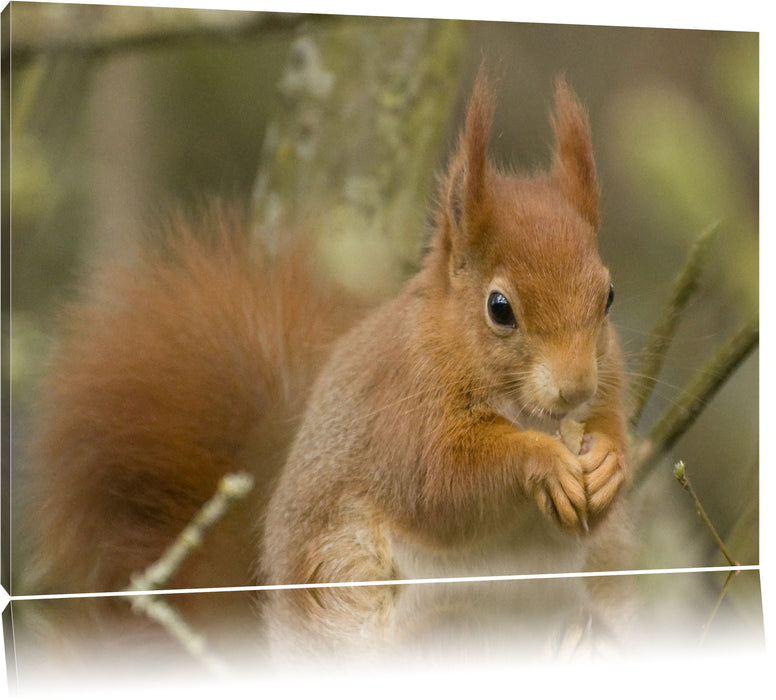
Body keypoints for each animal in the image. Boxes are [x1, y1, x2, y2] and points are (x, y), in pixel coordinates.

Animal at [22, 71, 632, 660]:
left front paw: (607, 460)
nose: (574, 389)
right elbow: (440, 482)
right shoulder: (401, 410)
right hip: (342, 576)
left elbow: (605, 444)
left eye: (608, 296)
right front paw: (541, 461)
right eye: (499, 308)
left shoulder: (609, 387)